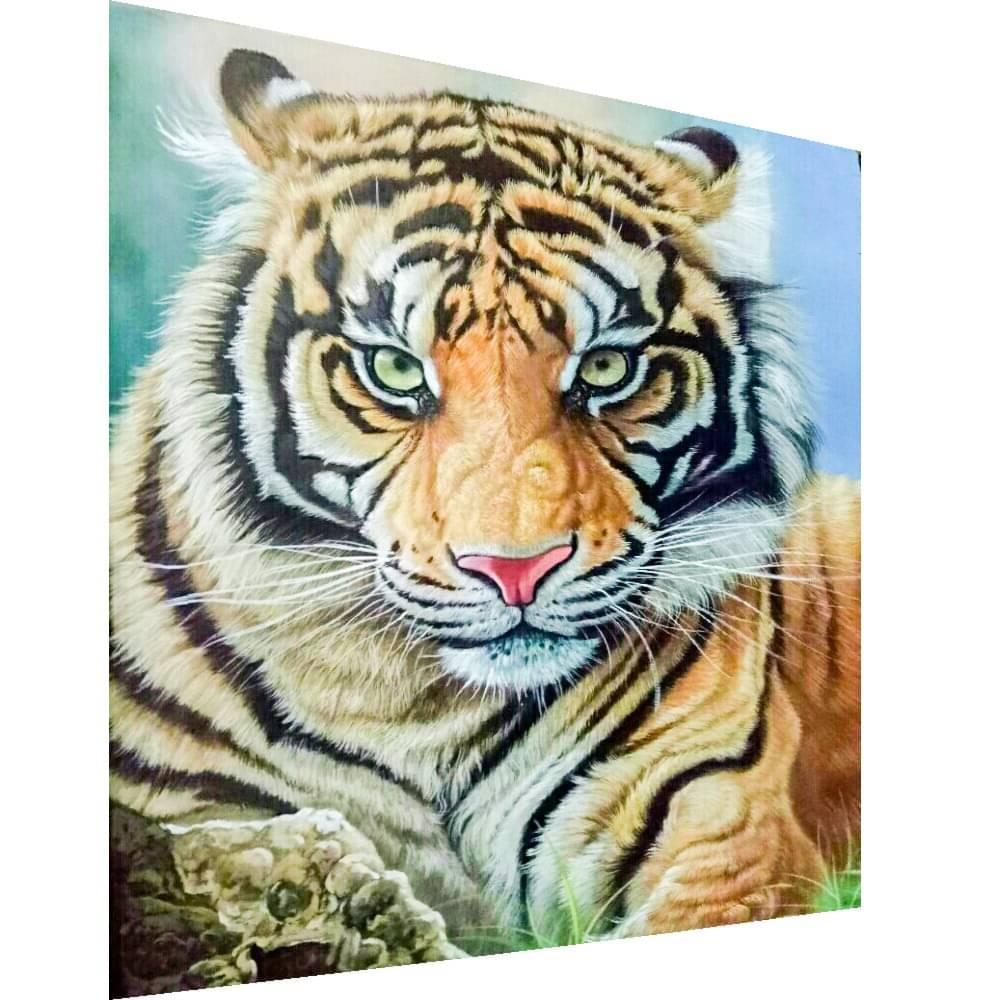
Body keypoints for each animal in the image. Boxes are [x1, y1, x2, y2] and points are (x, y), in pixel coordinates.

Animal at [110, 48, 860, 948]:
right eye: (394, 369)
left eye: (607, 367)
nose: (516, 572)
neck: (416, 707)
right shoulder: (192, 801)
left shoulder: (723, 830)